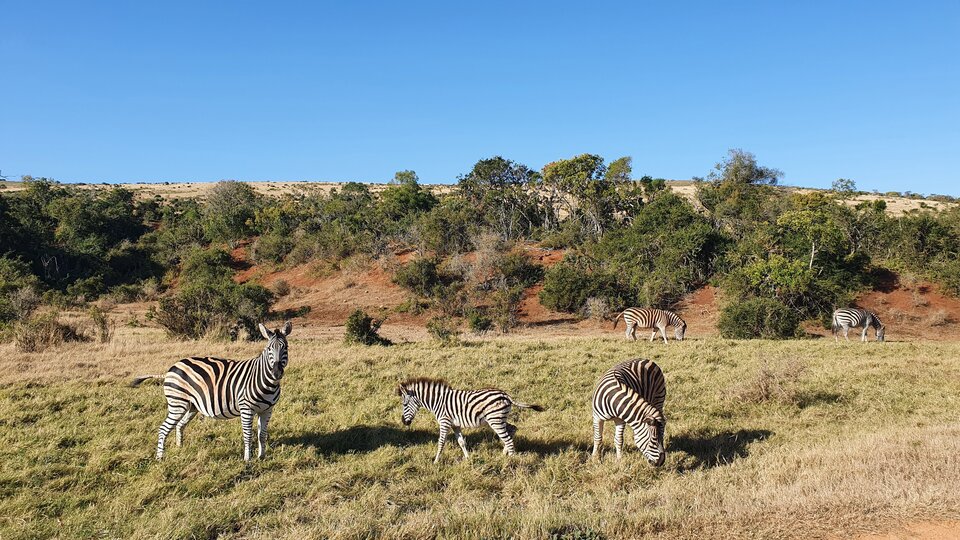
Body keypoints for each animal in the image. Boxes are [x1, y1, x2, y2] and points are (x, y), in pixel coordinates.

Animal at [130, 320, 292, 460]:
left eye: (286, 348)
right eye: (269, 349)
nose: (276, 372)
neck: (266, 382)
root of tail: (172, 368)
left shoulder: (267, 410)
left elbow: (262, 435)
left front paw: (262, 457)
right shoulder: (246, 408)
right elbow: (248, 434)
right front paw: (248, 459)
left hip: (191, 406)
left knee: (180, 425)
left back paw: (179, 448)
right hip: (177, 403)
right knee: (164, 428)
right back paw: (160, 457)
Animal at [398, 378, 544, 462]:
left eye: (404, 405)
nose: (404, 422)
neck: (438, 401)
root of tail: (506, 395)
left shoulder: (445, 422)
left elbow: (441, 442)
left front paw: (435, 461)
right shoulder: (455, 425)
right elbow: (461, 442)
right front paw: (468, 459)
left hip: (495, 420)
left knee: (507, 439)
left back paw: (512, 463)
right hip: (498, 419)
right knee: (512, 429)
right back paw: (504, 454)